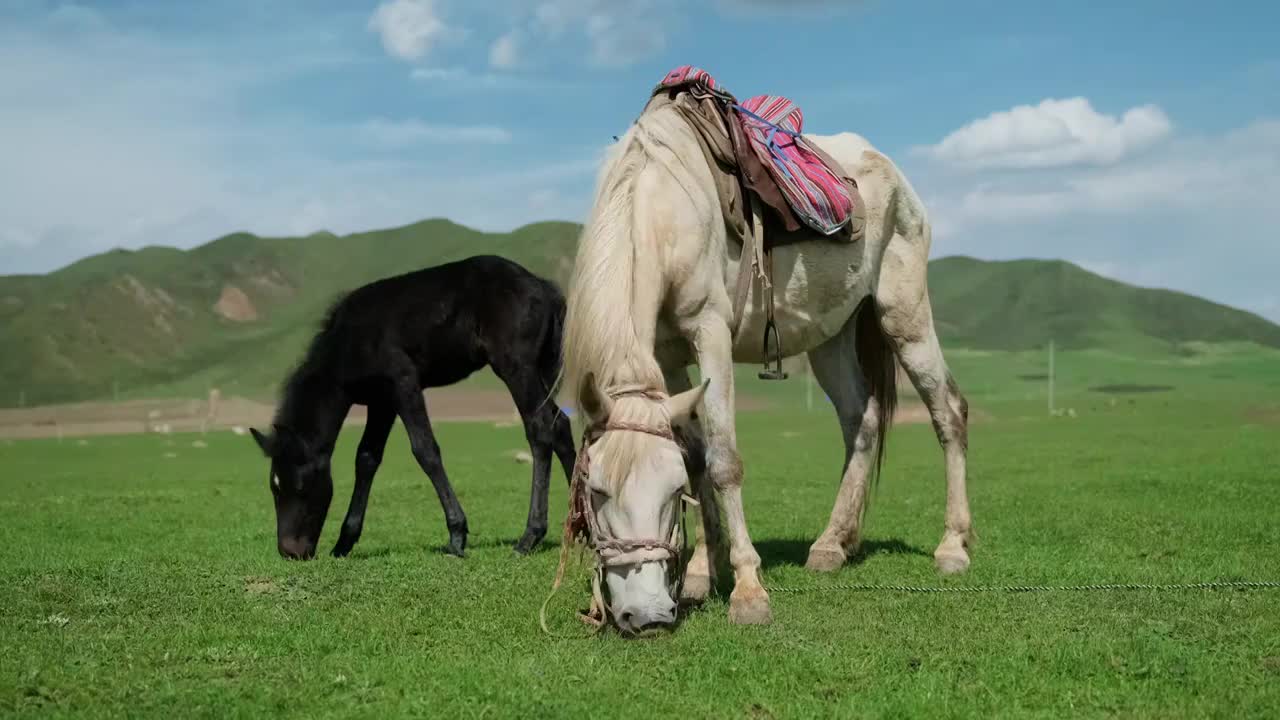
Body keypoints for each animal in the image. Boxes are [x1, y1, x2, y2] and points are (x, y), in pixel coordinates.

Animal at [248, 254, 576, 558]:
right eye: (274, 487)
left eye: (300, 486)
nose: (291, 551)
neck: (347, 343)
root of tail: (544, 287)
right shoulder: (381, 400)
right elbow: (366, 458)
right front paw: (344, 542)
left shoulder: (404, 383)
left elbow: (425, 450)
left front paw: (456, 536)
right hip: (543, 368)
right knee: (560, 425)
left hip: (517, 366)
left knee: (540, 429)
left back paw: (529, 536)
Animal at [560, 101, 967, 627]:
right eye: (596, 492)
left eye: (671, 493)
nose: (645, 614)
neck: (663, 212)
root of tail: (892, 171)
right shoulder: (668, 357)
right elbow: (696, 455)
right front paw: (700, 573)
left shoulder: (710, 332)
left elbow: (723, 461)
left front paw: (748, 591)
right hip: (831, 336)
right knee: (862, 419)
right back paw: (832, 545)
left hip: (905, 315)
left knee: (948, 411)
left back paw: (953, 547)